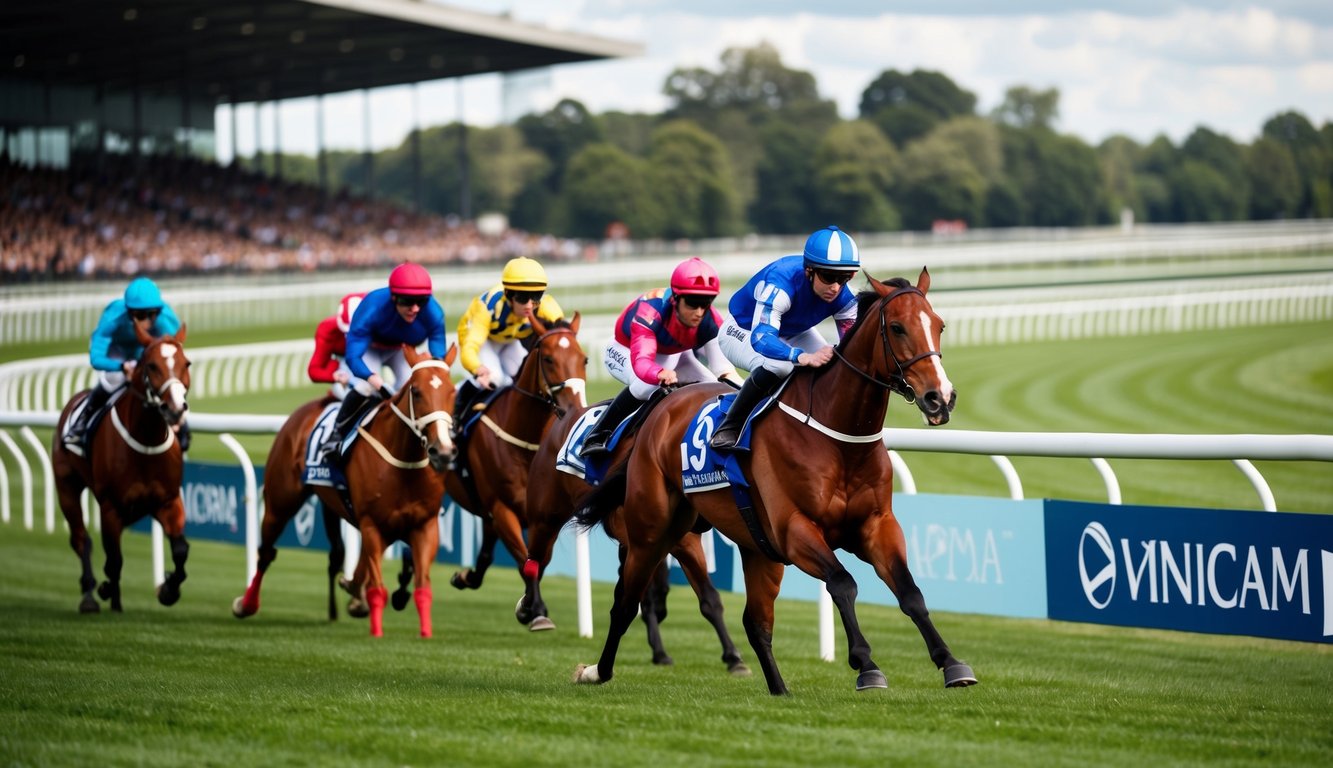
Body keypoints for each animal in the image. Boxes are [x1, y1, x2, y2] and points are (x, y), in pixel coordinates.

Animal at [51, 322, 191, 613]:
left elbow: (181, 549)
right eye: (151, 365)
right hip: (67, 487)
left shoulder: (168, 501)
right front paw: (108, 592)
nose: (175, 409)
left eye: (187, 363)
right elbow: (114, 560)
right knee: (81, 539)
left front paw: (168, 590)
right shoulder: (111, 507)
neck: (146, 441)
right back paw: (90, 595)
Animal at [230, 341, 458, 634]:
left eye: (452, 391)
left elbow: (421, 585)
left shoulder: (424, 525)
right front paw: (376, 627)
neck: (403, 463)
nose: (443, 451)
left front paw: (424, 631)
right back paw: (246, 604)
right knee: (266, 551)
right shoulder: (372, 522)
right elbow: (378, 586)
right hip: (280, 502)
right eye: (416, 392)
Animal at [439, 312, 586, 594]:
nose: (575, 407)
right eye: (549, 359)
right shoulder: (503, 510)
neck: (525, 443)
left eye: (583, 359)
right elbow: (525, 563)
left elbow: (539, 563)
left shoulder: (544, 519)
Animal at [517, 392, 751, 674]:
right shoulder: (676, 539)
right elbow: (652, 597)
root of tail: (563, 418)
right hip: (545, 516)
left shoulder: (669, 541)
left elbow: (708, 598)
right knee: (535, 561)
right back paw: (531, 610)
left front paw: (733, 657)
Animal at [567, 272, 975, 693]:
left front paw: (951, 663)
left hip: (755, 547)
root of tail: (663, 407)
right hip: (652, 531)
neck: (838, 438)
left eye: (939, 325)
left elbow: (910, 592)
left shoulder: (876, 525)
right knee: (625, 603)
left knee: (755, 622)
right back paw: (596, 671)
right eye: (896, 327)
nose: (940, 398)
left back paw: (779, 689)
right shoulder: (795, 530)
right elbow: (843, 583)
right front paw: (865, 663)